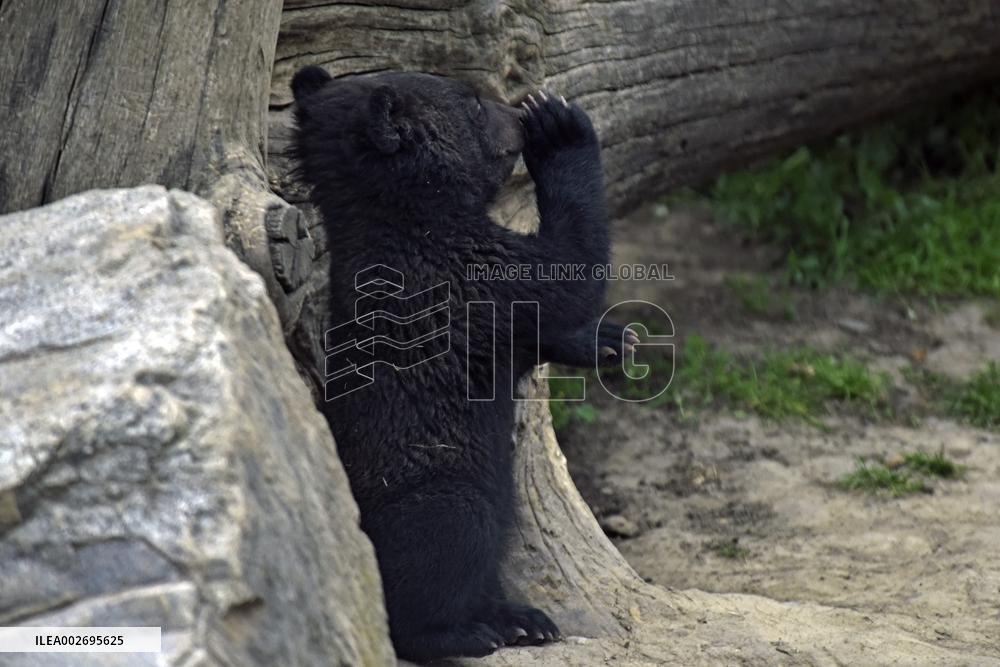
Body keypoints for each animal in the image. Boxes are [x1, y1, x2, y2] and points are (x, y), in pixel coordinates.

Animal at [291, 66, 637, 662]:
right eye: (473, 102)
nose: (517, 110)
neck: (409, 218)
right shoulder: (461, 278)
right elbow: (564, 269)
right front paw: (560, 124)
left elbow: (541, 327)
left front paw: (614, 340)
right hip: (438, 495)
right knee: (448, 550)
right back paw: (476, 631)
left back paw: (521, 618)